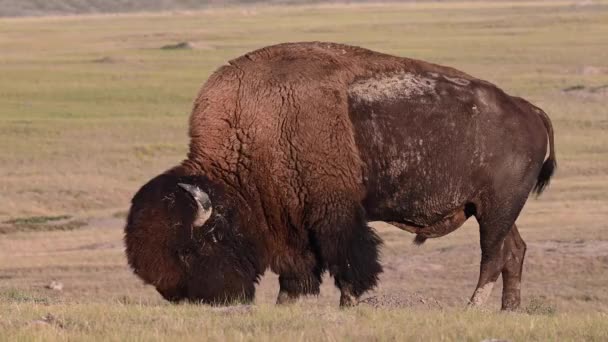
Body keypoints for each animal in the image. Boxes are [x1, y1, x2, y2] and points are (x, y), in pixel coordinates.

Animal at [123, 40, 556, 310]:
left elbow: (348, 261)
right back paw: (508, 311)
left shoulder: (335, 214)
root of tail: (528, 110)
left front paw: (348, 304)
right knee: (514, 251)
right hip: (495, 212)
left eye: (188, 249)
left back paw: (472, 308)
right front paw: (287, 303)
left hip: (494, 211)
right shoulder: (290, 221)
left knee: (492, 257)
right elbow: (297, 269)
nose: (192, 298)